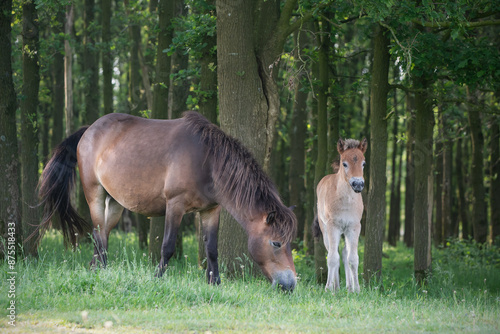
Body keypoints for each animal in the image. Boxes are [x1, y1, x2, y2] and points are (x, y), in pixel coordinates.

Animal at [40, 111, 296, 290]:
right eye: (276, 243)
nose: (291, 285)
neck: (207, 161)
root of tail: (89, 130)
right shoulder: (175, 205)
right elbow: (168, 246)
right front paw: (156, 279)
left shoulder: (211, 210)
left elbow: (212, 249)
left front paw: (215, 284)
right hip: (94, 194)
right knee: (97, 232)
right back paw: (102, 269)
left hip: (115, 203)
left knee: (102, 233)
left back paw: (97, 270)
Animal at [312, 138, 368, 292]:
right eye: (344, 163)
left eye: (364, 163)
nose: (358, 184)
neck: (346, 202)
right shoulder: (333, 226)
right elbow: (332, 258)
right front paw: (328, 288)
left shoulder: (354, 227)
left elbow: (353, 258)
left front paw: (357, 290)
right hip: (325, 229)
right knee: (332, 252)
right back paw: (335, 287)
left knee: (344, 253)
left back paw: (348, 287)